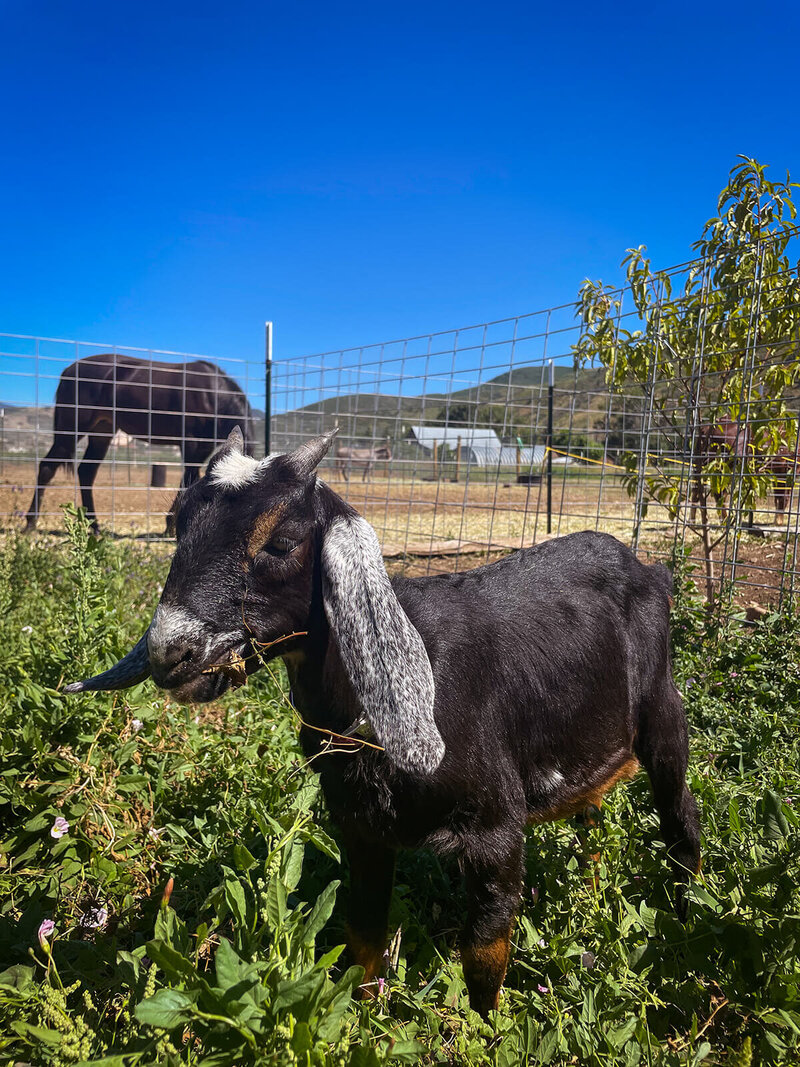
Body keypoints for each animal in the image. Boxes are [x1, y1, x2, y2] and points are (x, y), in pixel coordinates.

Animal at [25, 352, 251, 531]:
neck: (212, 394)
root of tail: (67, 371)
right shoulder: (191, 443)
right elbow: (189, 478)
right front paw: (170, 526)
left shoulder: (204, 447)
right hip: (71, 430)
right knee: (47, 468)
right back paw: (30, 523)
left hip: (101, 433)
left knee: (86, 473)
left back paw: (95, 527)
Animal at [67, 424, 699, 1015]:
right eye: (179, 522)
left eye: (282, 540)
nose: (169, 653)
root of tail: (649, 569)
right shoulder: (361, 829)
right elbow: (364, 937)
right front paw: (366, 1016)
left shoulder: (497, 828)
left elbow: (483, 953)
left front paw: (486, 1029)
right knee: (592, 819)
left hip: (664, 714)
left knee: (681, 820)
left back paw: (685, 916)